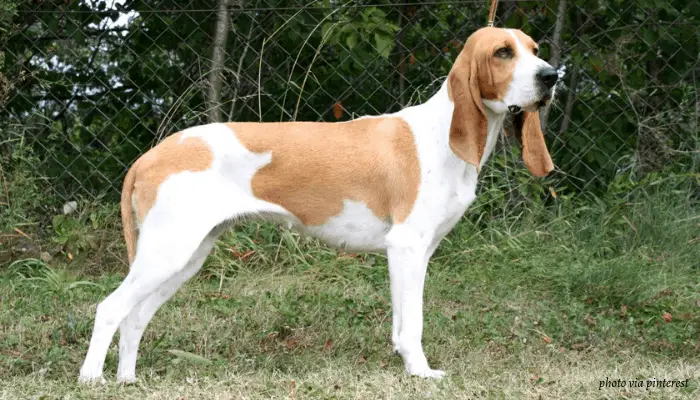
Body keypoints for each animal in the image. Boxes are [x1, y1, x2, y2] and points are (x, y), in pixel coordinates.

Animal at [76, 26, 556, 382]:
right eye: (502, 52)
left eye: (534, 50)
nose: (552, 76)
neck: (443, 134)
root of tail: (151, 155)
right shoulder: (406, 247)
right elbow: (413, 325)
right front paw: (420, 374)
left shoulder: (416, 254)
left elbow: (402, 322)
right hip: (166, 253)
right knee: (109, 309)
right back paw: (92, 379)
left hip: (185, 257)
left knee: (135, 318)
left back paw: (127, 380)